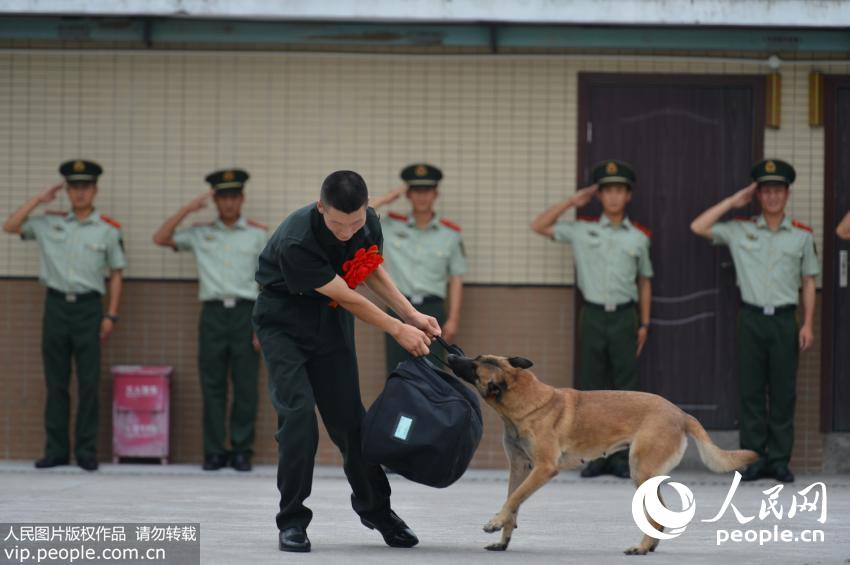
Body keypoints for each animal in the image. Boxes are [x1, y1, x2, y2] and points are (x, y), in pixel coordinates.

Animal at [448, 354, 760, 552]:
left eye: (474, 365)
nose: (450, 355)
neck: (523, 397)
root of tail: (681, 413)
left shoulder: (544, 468)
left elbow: (514, 498)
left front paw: (494, 522)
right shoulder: (519, 467)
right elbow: (512, 501)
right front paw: (503, 538)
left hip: (640, 471)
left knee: (656, 513)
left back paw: (641, 548)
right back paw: (650, 546)